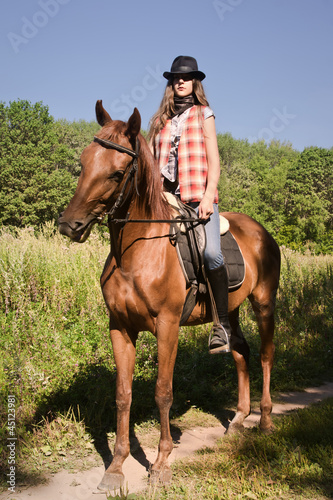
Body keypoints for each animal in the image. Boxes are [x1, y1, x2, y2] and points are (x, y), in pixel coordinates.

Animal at [58, 99, 278, 490]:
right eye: (83, 163)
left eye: (117, 173)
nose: (70, 225)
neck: (136, 253)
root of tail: (261, 232)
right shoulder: (120, 328)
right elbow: (123, 396)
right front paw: (116, 467)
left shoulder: (168, 326)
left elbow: (163, 392)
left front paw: (160, 464)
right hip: (230, 311)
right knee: (240, 353)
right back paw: (238, 419)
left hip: (264, 303)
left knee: (266, 356)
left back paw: (264, 421)